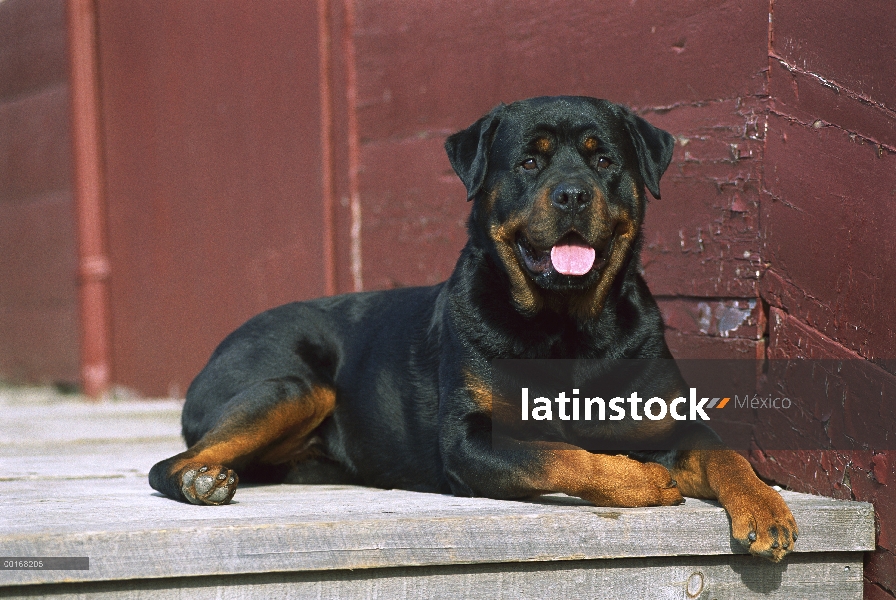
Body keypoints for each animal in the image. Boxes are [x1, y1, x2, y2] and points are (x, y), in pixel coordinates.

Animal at [149, 95, 800, 564]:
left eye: (603, 160)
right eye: (530, 162)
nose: (572, 194)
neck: (565, 327)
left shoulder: (666, 421)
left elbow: (727, 457)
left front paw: (766, 510)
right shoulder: (470, 441)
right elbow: (562, 455)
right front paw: (643, 480)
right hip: (297, 388)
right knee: (167, 465)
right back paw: (204, 481)